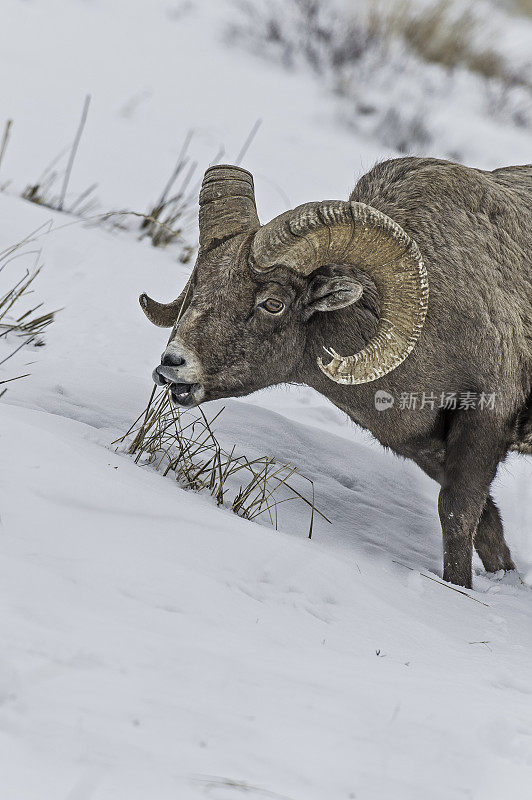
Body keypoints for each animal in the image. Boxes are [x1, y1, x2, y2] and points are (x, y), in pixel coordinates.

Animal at [139, 159, 528, 592]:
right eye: (200, 282)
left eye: (273, 303)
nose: (172, 364)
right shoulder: (428, 448)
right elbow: (487, 528)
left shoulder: (482, 425)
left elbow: (458, 517)